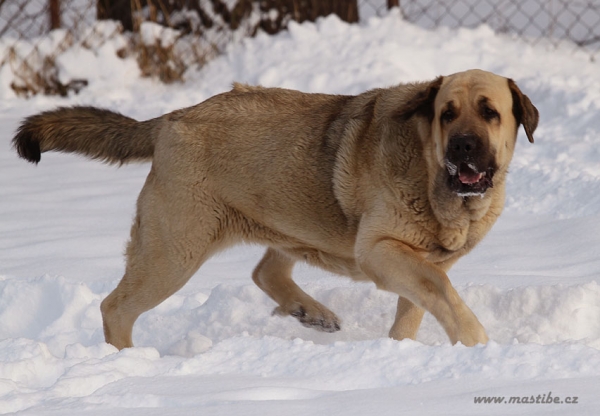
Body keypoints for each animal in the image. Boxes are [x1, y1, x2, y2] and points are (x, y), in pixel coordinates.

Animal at [12, 70, 540, 350]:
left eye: (490, 113)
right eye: (446, 114)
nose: (463, 147)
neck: (435, 180)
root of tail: (173, 119)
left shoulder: (416, 262)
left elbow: (418, 306)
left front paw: (403, 351)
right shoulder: (380, 250)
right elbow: (443, 294)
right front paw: (478, 346)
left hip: (285, 222)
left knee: (266, 270)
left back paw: (311, 312)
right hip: (175, 250)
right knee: (115, 307)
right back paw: (127, 362)